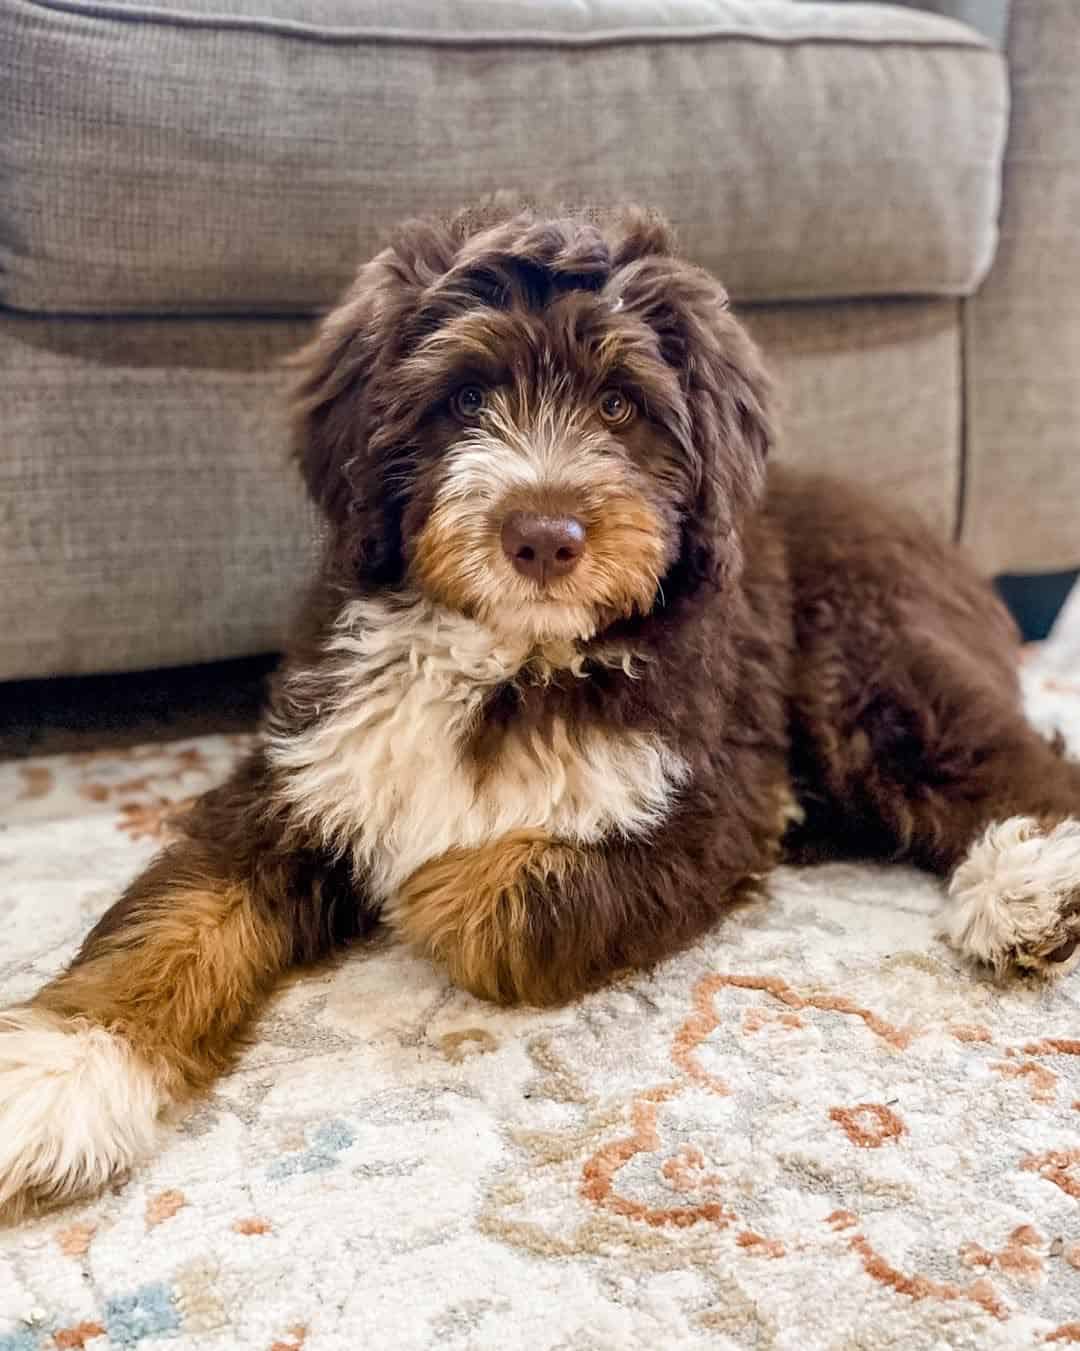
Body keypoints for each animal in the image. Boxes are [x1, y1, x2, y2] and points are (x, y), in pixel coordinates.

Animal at [2, 202, 1080, 1226]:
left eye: (620, 403)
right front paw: (61, 1074)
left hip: (870, 657)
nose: (544, 535)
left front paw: (417, 883)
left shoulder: (713, 795)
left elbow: (487, 899)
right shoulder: (300, 767)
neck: (507, 656)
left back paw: (1029, 882)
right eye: (465, 398)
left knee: (995, 755)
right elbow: (174, 914)